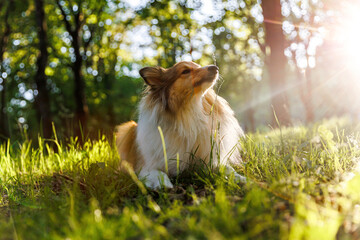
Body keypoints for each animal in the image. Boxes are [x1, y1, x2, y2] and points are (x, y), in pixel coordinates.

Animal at [116, 61, 246, 188]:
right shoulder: (146, 166)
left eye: (198, 65)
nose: (215, 67)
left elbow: (227, 169)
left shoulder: (208, 161)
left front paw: (241, 179)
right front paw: (163, 183)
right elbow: (156, 172)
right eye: (186, 71)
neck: (189, 112)